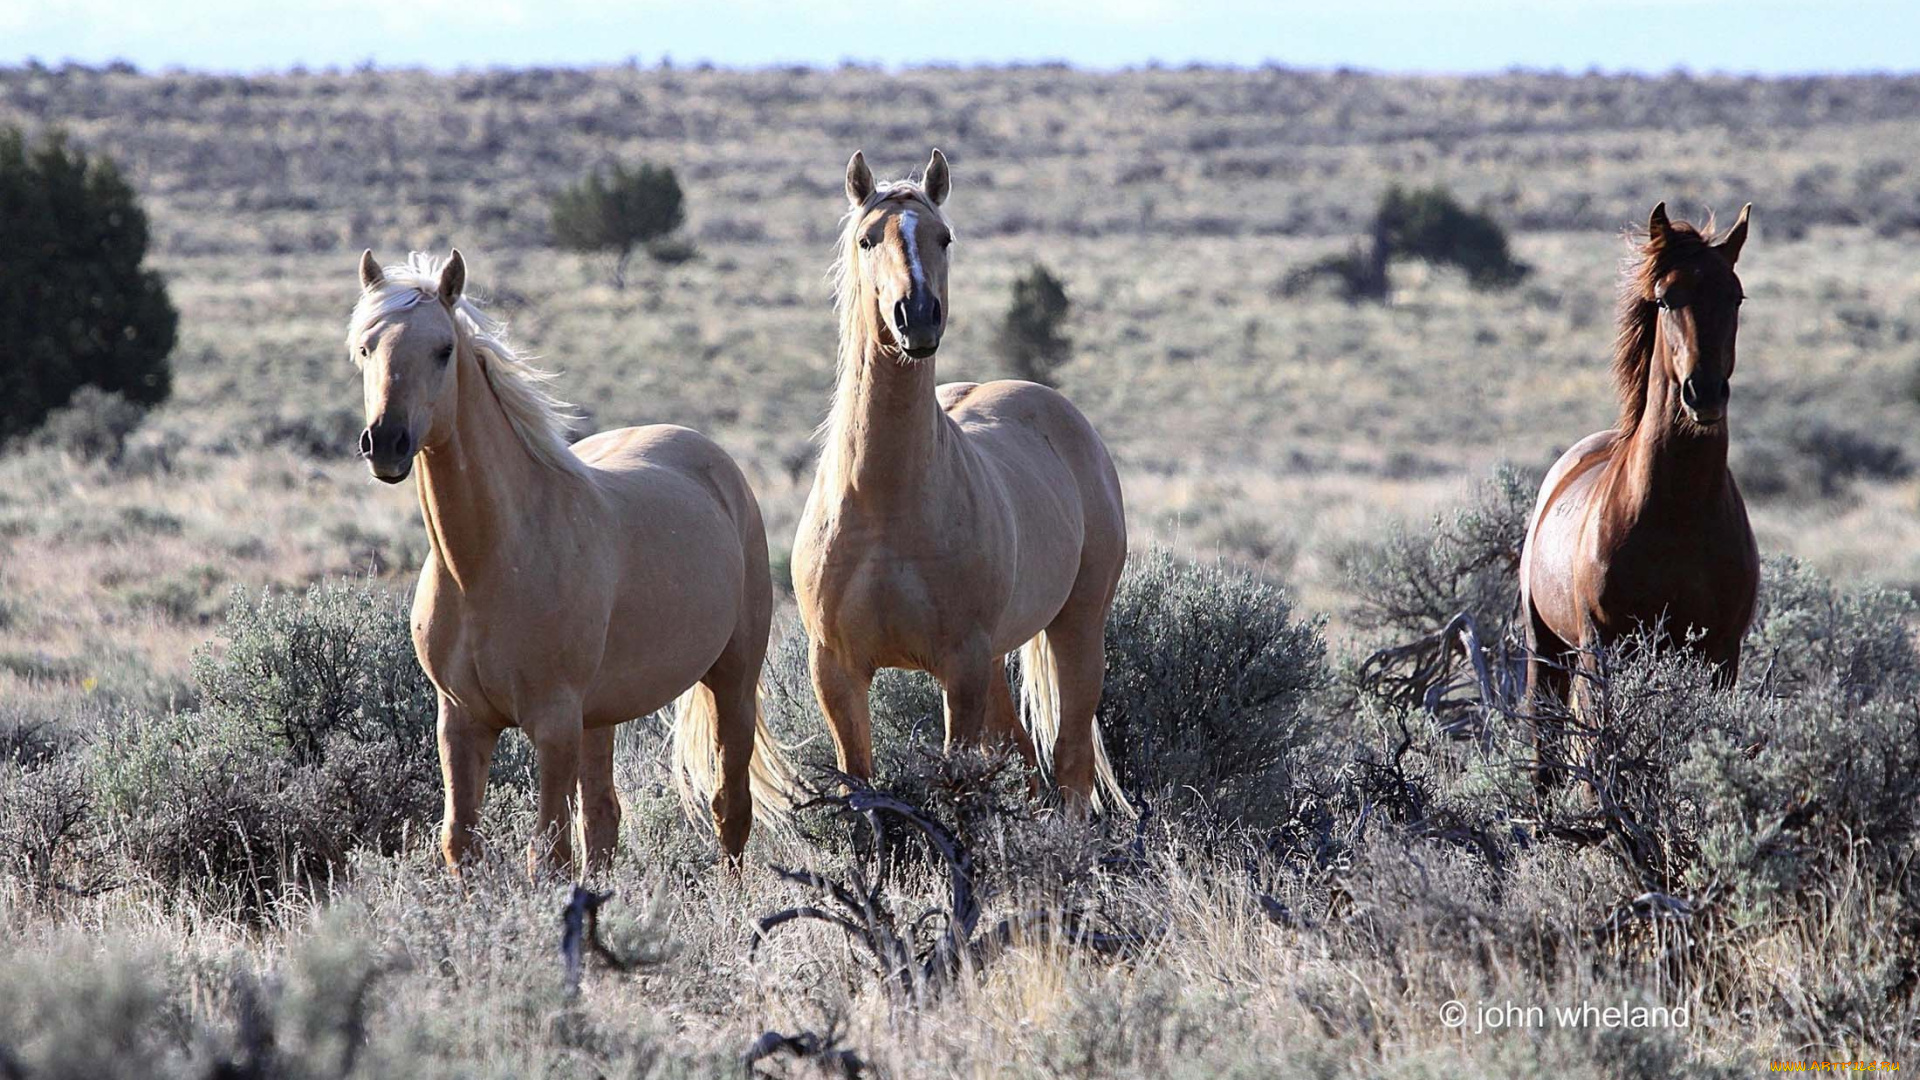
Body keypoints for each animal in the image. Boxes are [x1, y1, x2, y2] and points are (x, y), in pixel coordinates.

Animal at [349, 247, 791, 868]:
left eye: (443, 350)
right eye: (366, 347)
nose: (385, 442)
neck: (485, 564)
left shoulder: (553, 723)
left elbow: (549, 851)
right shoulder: (460, 720)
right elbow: (461, 840)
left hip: (732, 681)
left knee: (731, 808)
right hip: (600, 715)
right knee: (604, 819)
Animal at [791, 148, 1128, 807]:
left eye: (943, 237)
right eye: (868, 240)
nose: (918, 317)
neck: (884, 505)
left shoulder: (961, 666)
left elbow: (957, 786)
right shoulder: (836, 671)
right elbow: (861, 788)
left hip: (1076, 629)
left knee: (1070, 764)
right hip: (1000, 659)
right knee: (1025, 758)